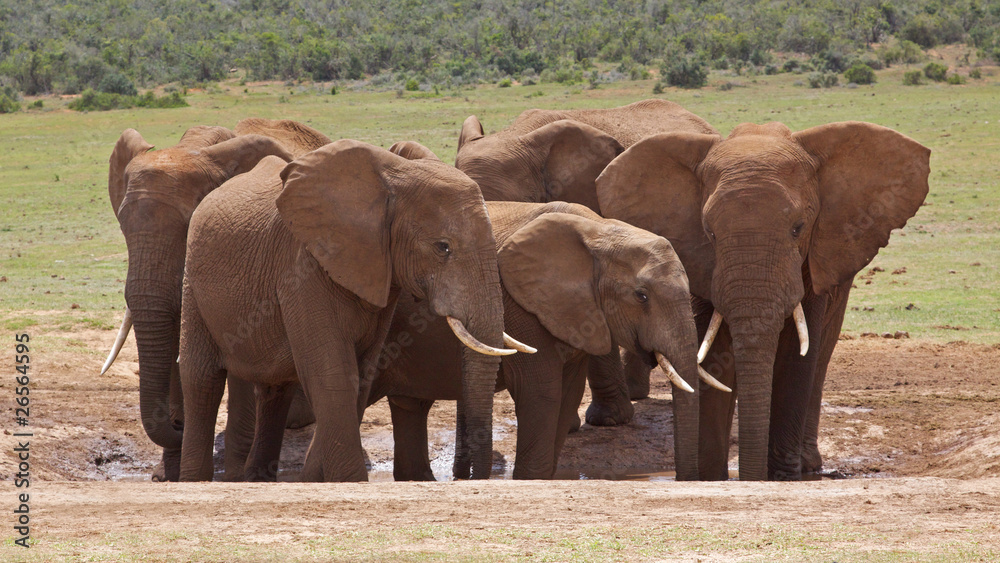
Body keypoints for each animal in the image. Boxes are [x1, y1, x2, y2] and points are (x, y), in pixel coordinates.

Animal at [178, 140, 516, 482]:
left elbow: (361, 376)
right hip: (192, 280)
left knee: (275, 389)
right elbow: (332, 374)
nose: (465, 475)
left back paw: (258, 477)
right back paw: (195, 479)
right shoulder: (303, 267)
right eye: (442, 247)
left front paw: (314, 478)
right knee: (201, 378)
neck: (394, 179)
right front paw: (347, 479)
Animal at [368, 199, 729, 480]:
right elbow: (541, 391)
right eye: (641, 296)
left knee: (409, 405)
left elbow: (568, 393)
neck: (600, 231)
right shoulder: (521, 305)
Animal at [595, 121, 931, 480]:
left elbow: (797, 356)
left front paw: (782, 478)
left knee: (821, 355)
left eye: (798, 228)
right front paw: (711, 477)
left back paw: (808, 466)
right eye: (709, 231)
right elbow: (713, 352)